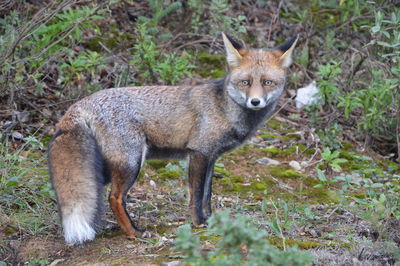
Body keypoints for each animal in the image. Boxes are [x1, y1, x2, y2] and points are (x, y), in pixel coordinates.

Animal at [47, 32, 296, 244]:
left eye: (267, 82)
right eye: (245, 82)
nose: (255, 102)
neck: (224, 108)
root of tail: (79, 104)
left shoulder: (211, 157)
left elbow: (207, 195)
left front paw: (211, 220)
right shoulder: (199, 152)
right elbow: (196, 196)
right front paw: (199, 222)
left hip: (108, 165)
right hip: (131, 162)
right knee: (115, 198)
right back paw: (133, 232)